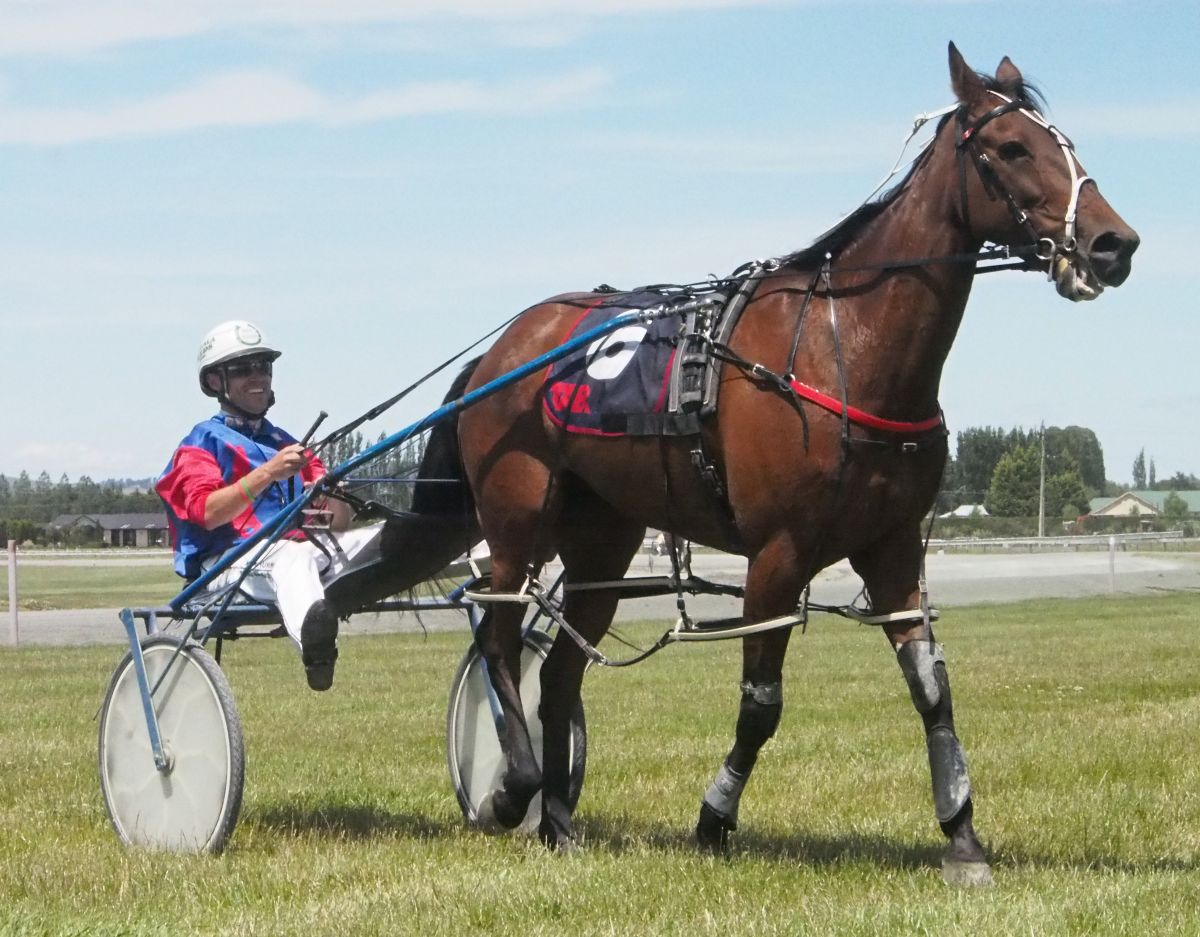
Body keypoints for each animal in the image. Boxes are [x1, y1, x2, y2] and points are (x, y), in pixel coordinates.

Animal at [409, 43, 1138, 884]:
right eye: (1013, 147)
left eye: (1066, 142)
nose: (1114, 243)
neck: (842, 345)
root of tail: (504, 347)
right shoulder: (777, 555)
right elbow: (762, 704)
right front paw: (712, 819)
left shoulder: (892, 546)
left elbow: (932, 688)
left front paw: (962, 837)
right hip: (517, 517)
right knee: (497, 635)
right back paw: (513, 788)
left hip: (605, 539)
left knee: (559, 673)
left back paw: (559, 820)